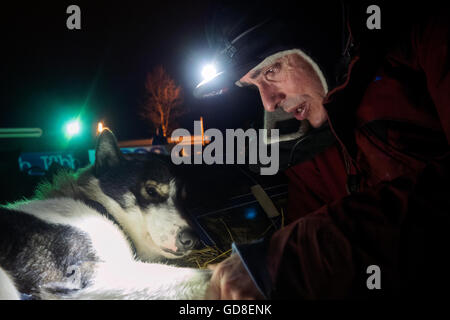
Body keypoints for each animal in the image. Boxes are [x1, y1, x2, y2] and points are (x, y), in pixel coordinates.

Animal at [0, 129, 211, 298]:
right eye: (151, 191)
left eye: (184, 199)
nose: (192, 238)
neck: (101, 207)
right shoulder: (89, 278)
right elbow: (202, 276)